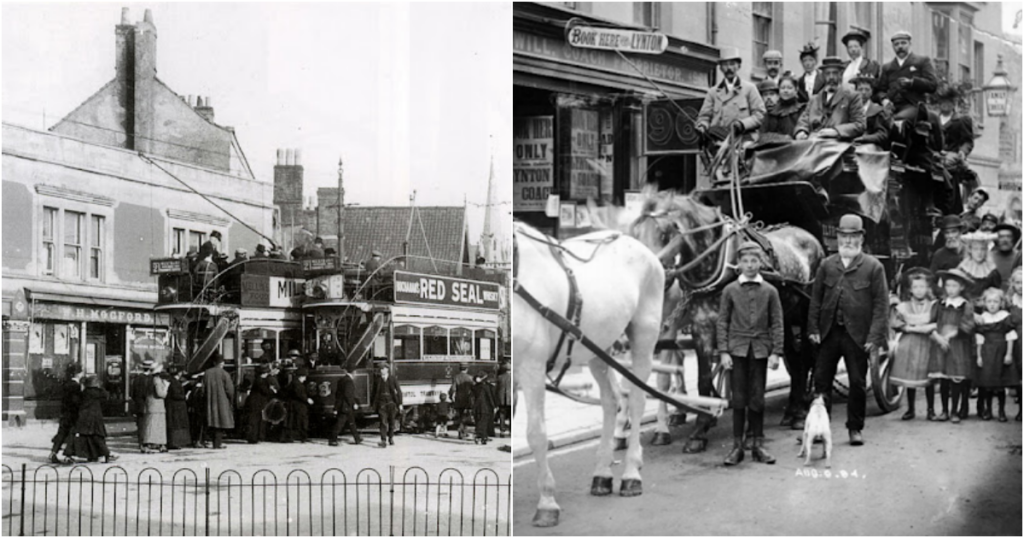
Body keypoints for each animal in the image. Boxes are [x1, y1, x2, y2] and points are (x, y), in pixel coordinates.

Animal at [512, 220, 663, 524]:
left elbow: (536, 433)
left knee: (637, 400)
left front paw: (547, 502)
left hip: (644, 338)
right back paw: (602, 474)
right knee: (611, 400)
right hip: (598, 347)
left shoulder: (530, 366)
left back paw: (631, 473)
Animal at [626, 190, 827, 450]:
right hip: (785, 313)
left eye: (664, 232)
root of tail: (808, 235)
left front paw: (748, 432)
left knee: (804, 355)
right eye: (635, 234)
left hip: (806, 311)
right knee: (794, 355)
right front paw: (699, 431)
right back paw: (792, 410)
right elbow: (703, 379)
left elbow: (749, 379)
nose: (648, 277)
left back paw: (799, 413)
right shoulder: (702, 328)